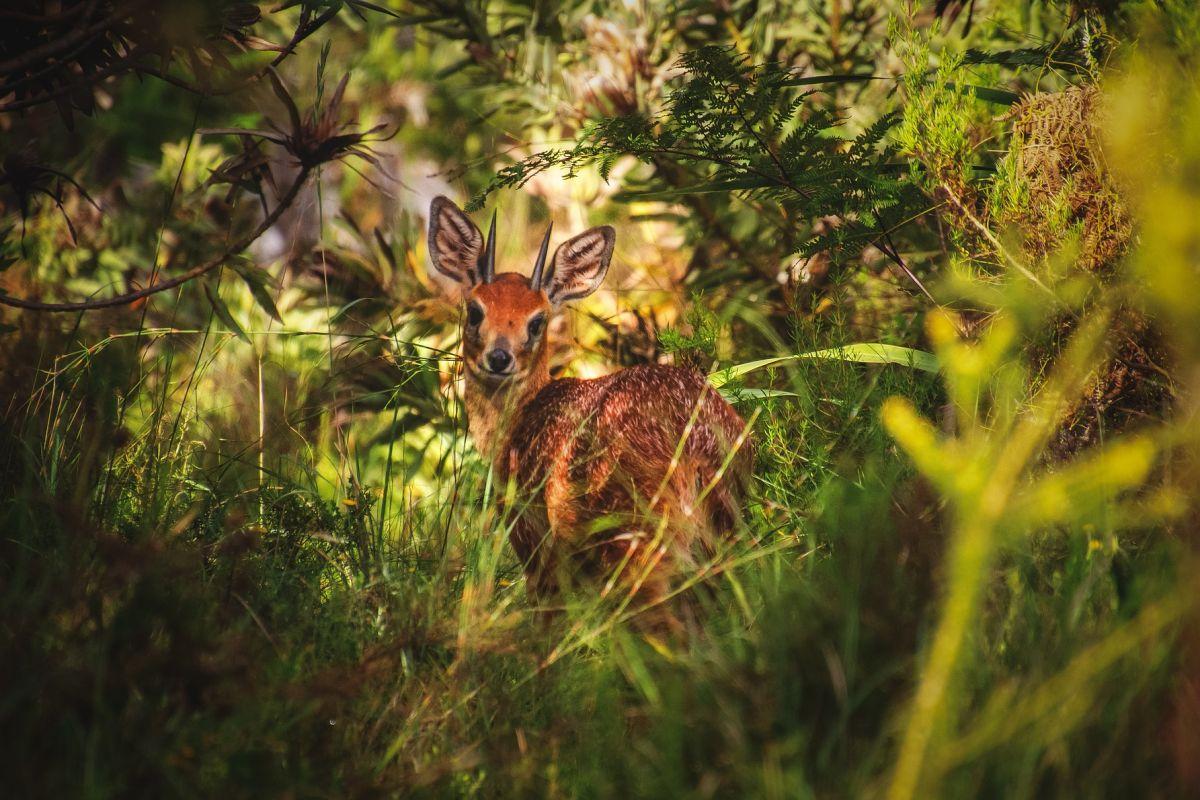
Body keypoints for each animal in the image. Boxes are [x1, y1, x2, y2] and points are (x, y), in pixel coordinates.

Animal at [429, 196, 748, 609]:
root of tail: (695, 445)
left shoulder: (530, 533)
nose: (499, 358)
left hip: (626, 524)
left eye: (537, 321)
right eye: (475, 310)